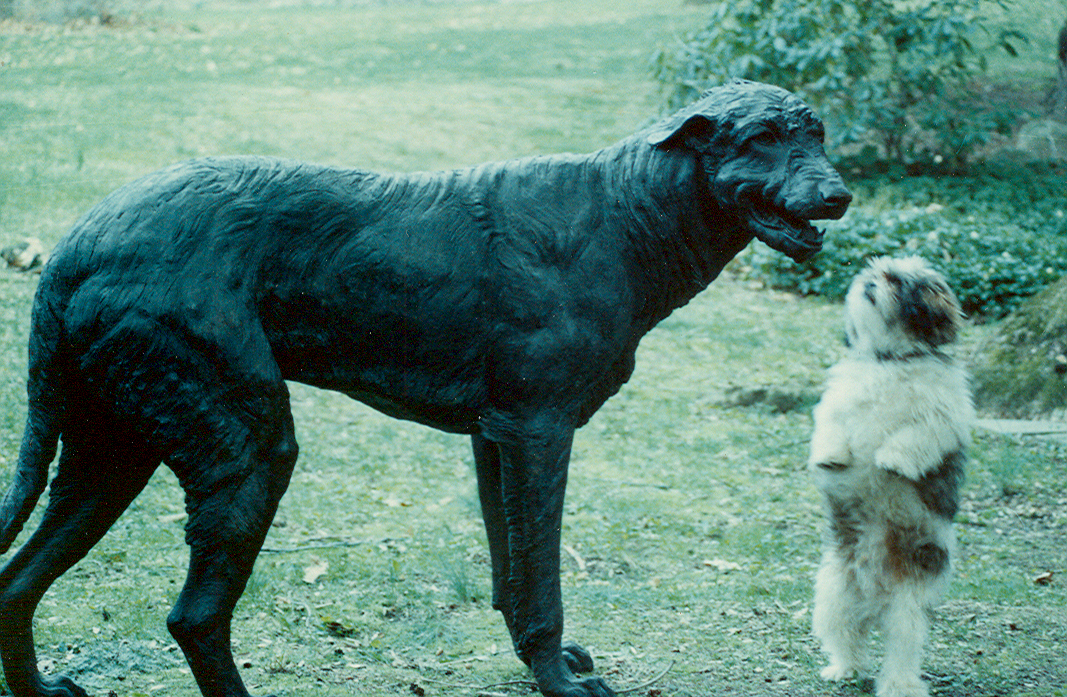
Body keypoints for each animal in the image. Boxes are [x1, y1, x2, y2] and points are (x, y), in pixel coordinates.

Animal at [806, 255, 977, 695]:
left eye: (896, 282)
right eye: (873, 273)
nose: (869, 283)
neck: (890, 359)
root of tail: (875, 596)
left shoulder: (940, 418)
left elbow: (911, 436)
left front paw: (892, 462)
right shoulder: (835, 407)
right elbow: (832, 429)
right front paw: (830, 457)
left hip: (905, 612)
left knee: (901, 652)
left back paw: (899, 685)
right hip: (833, 596)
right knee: (847, 637)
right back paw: (843, 668)